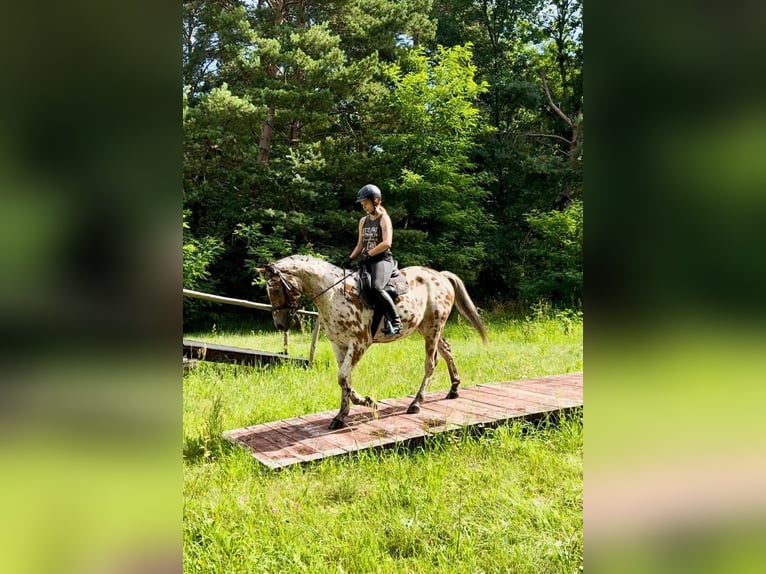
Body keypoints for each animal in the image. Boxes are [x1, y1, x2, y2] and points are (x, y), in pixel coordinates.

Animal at [256, 256, 486, 432]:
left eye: (275, 290)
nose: (280, 324)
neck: (333, 294)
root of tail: (441, 275)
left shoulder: (359, 343)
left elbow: (342, 378)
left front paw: (368, 402)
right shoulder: (339, 345)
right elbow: (344, 380)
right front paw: (341, 416)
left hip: (433, 328)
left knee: (431, 363)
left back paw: (416, 403)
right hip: (426, 328)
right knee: (446, 351)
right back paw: (454, 389)